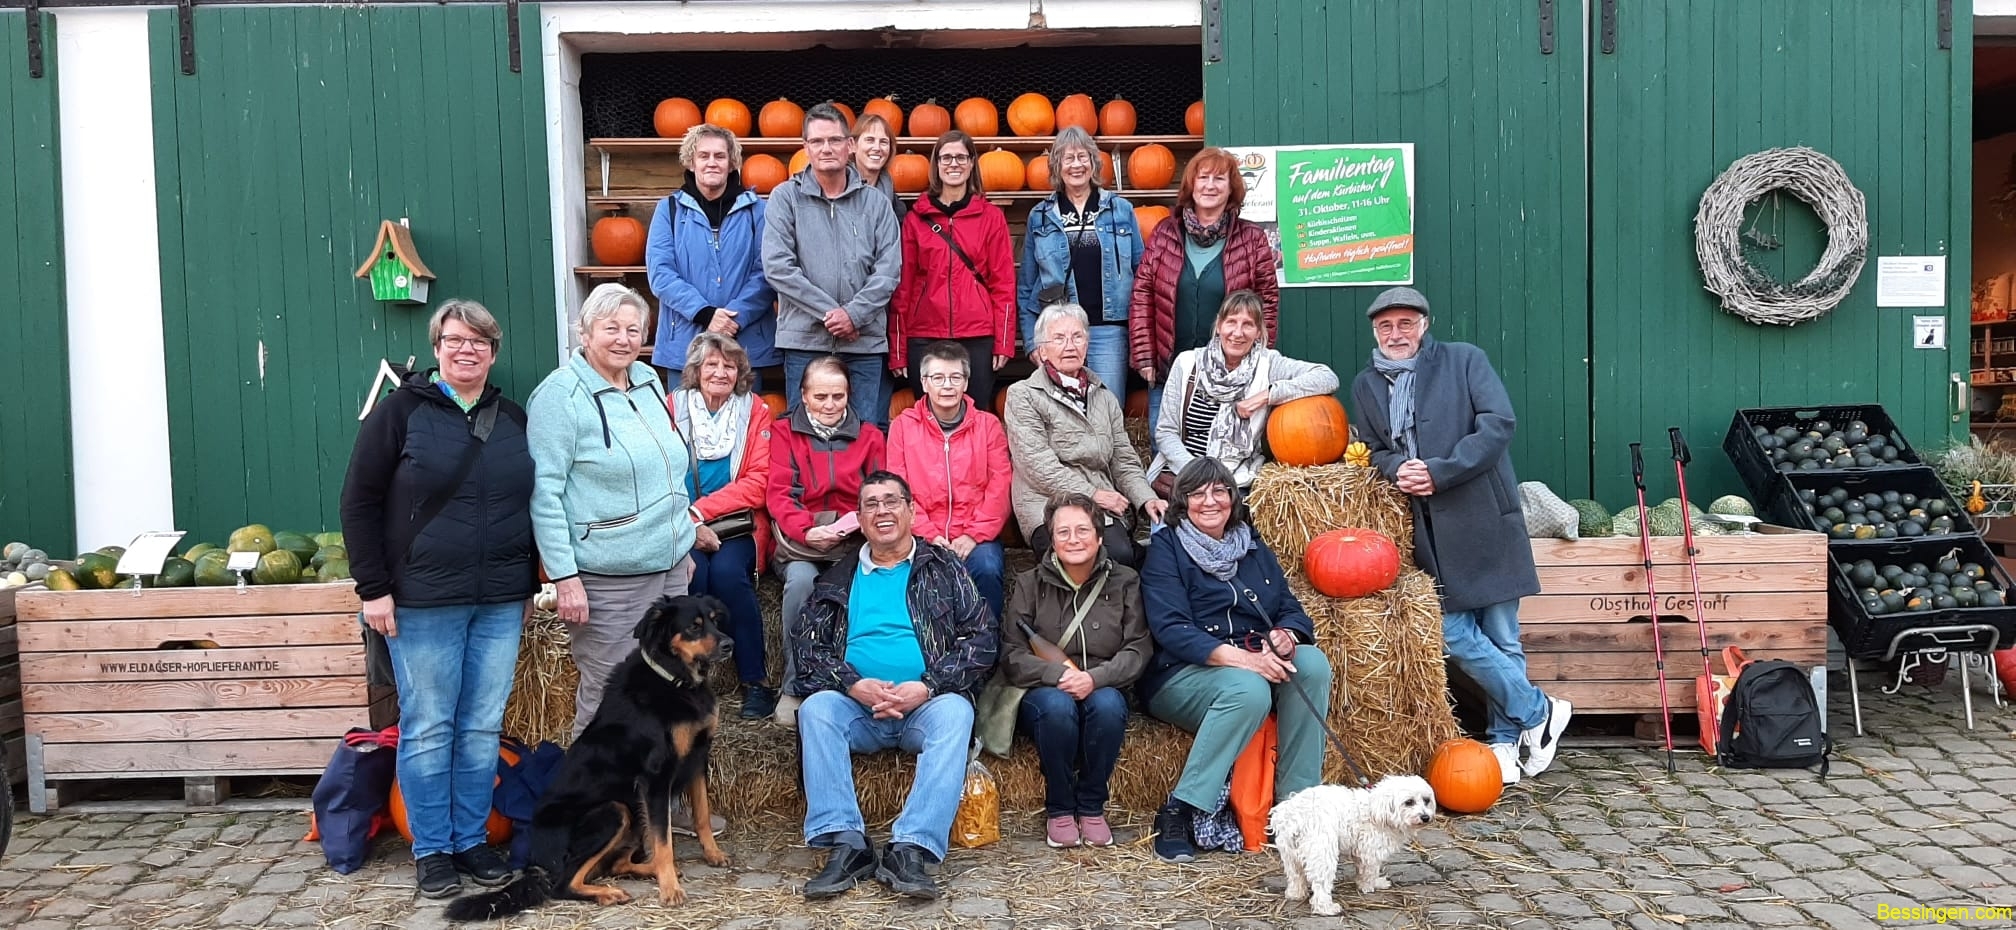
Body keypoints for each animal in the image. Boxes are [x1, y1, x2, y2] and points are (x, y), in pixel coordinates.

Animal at [453, 589, 737, 915]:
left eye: (715, 621)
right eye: (693, 626)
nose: (729, 644)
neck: (673, 678)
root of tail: (534, 859)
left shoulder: (698, 758)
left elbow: (702, 813)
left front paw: (713, 854)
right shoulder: (656, 777)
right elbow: (663, 840)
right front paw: (670, 890)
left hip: (630, 816)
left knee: (615, 864)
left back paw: (645, 871)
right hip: (613, 810)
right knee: (564, 883)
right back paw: (610, 892)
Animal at [1266, 766, 1443, 911]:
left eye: (1426, 800)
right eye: (1409, 802)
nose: (1425, 817)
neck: (1378, 809)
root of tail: (1295, 816)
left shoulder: (1360, 850)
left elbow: (1362, 869)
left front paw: (1368, 882)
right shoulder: (1371, 850)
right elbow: (1370, 871)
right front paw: (1369, 886)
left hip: (1289, 853)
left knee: (1295, 875)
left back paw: (1295, 894)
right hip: (1321, 852)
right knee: (1320, 884)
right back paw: (1326, 908)